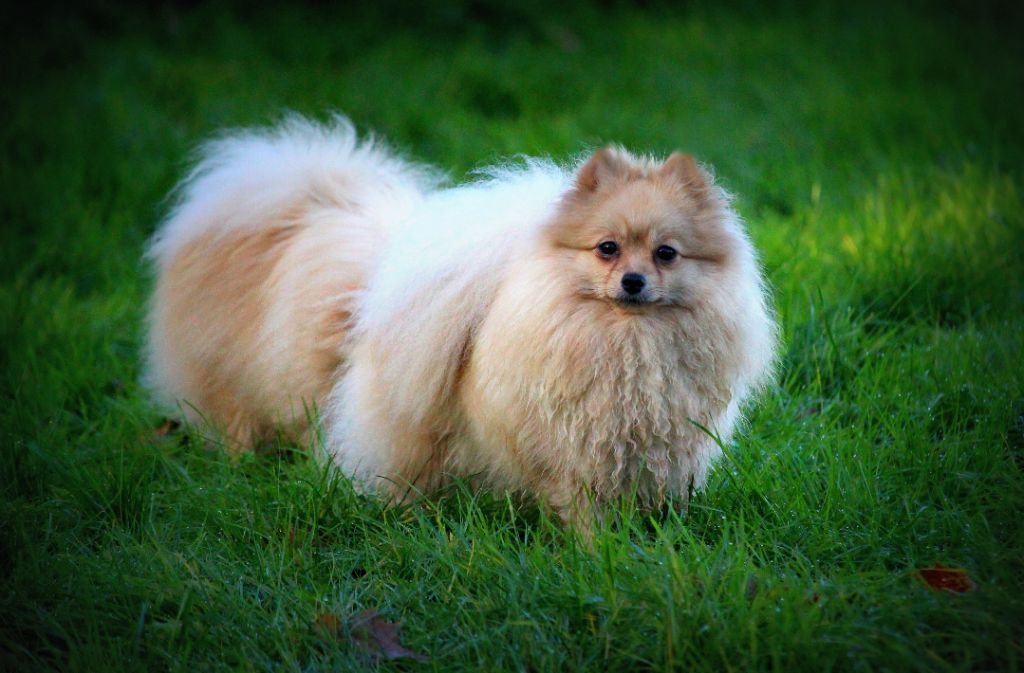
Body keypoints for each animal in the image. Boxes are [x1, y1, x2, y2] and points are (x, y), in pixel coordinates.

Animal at [146, 115, 774, 524]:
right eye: (607, 249)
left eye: (666, 254)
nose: (633, 281)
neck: (625, 342)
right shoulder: (565, 455)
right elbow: (580, 511)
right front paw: (595, 553)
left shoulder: (652, 453)